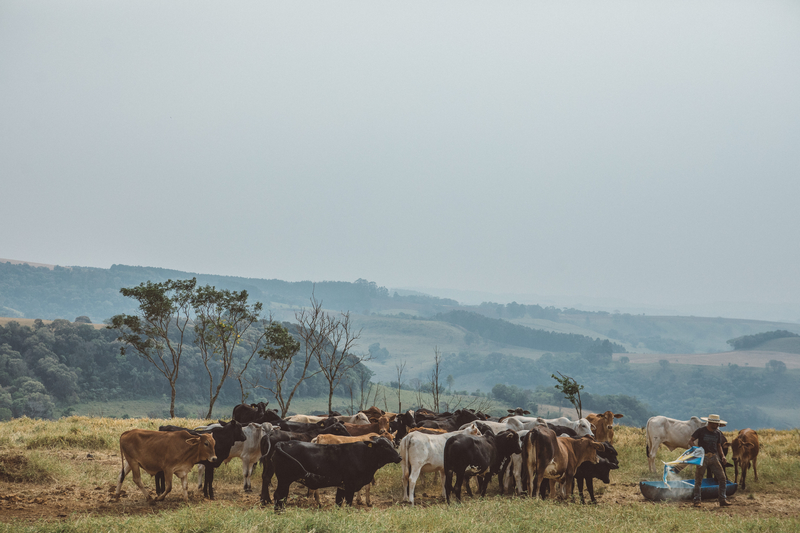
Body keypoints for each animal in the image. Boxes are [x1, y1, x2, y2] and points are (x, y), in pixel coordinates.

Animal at [268, 436, 400, 512]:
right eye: (384, 446)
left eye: (392, 444)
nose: (399, 457)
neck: (363, 454)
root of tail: (283, 443)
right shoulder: (350, 485)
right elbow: (348, 503)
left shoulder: (341, 486)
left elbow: (338, 502)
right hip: (284, 479)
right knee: (279, 495)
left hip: (284, 480)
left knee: (282, 496)